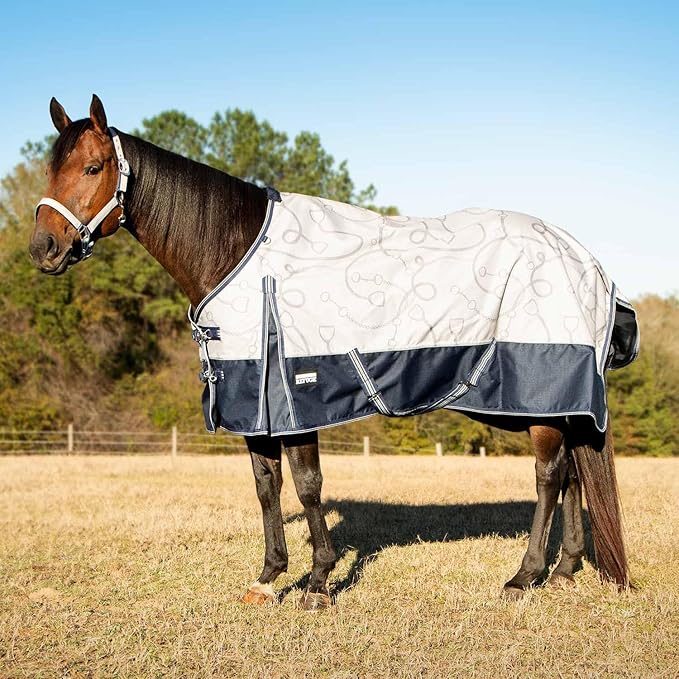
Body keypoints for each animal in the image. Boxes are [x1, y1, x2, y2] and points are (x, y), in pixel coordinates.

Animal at [30, 95, 637, 610]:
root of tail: (584, 259)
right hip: (562, 404)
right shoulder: (254, 402)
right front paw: (269, 577)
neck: (239, 252)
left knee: (550, 475)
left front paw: (319, 583)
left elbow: (307, 486)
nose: (44, 249)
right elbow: (267, 488)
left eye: (93, 168)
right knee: (576, 473)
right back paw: (564, 571)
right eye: (49, 170)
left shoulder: (296, 399)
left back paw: (524, 575)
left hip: (539, 396)